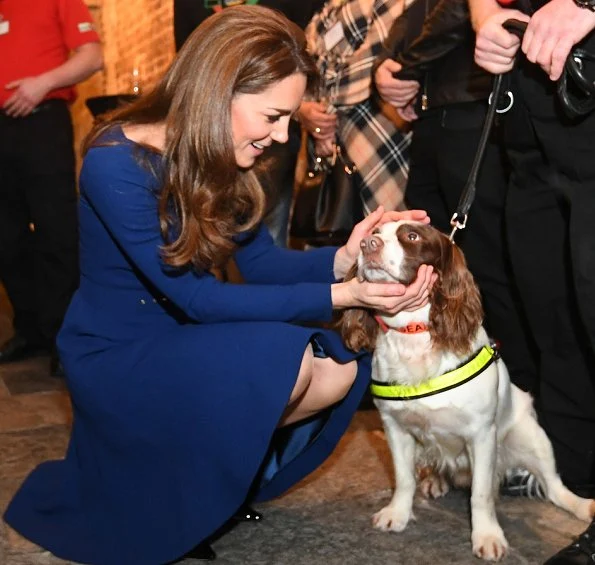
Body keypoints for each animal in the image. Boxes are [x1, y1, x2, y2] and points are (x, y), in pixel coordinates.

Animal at [340, 219, 595, 560]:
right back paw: (436, 481)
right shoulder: (396, 428)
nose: (367, 244)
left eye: (412, 236)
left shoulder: (482, 434)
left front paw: (487, 535)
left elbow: (481, 494)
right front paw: (398, 514)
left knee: (554, 487)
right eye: (375, 232)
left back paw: (581, 505)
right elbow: (404, 479)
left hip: (533, 438)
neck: (414, 333)